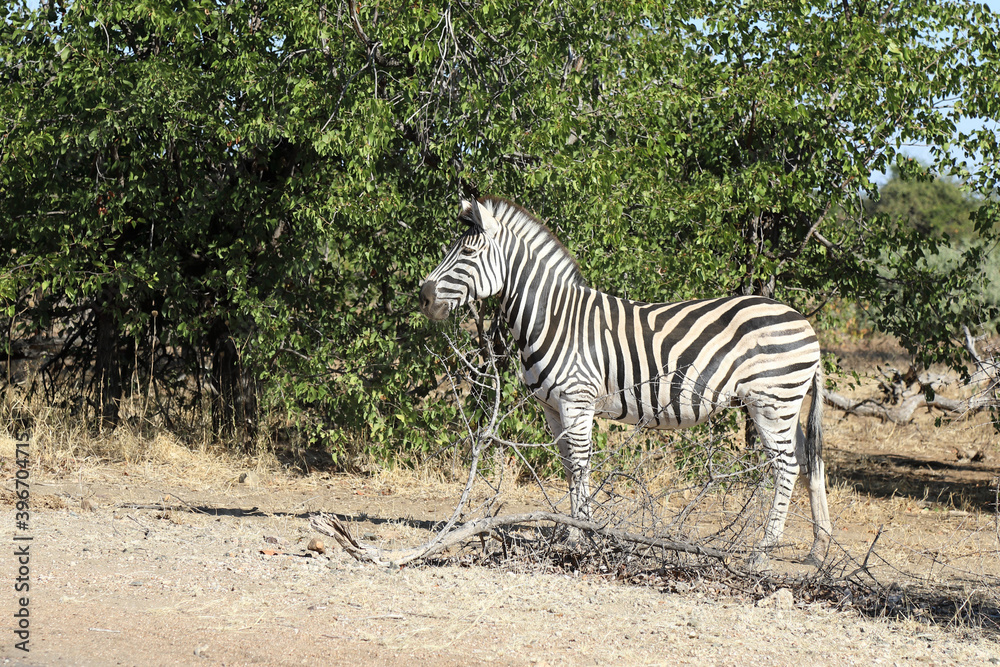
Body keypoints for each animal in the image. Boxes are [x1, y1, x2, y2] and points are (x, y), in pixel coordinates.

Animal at [419, 196, 832, 564]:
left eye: (467, 254)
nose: (422, 297)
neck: (553, 317)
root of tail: (806, 324)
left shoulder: (577, 399)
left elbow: (581, 464)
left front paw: (582, 536)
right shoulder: (551, 407)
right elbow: (568, 465)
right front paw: (572, 533)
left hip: (770, 402)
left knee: (787, 467)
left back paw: (763, 551)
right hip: (786, 404)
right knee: (810, 462)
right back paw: (819, 549)